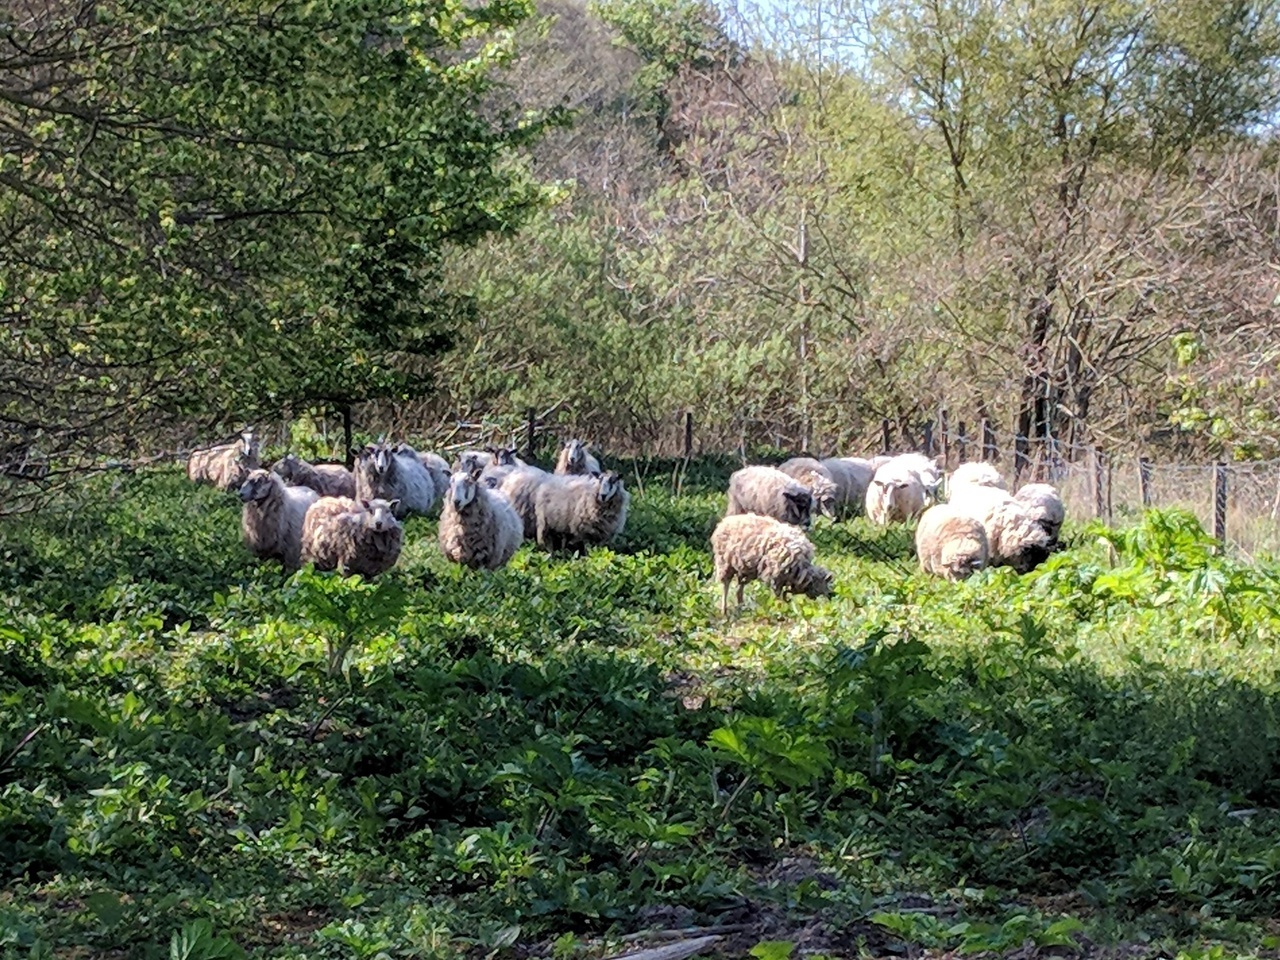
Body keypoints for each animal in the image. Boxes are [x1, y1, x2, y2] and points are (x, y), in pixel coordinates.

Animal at [706, 519, 834, 616]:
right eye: (822, 585)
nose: (831, 596)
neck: (800, 568)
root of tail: (724, 522)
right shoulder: (775, 575)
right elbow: (777, 595)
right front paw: (780, 610)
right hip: (725, 563)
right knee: (726, 585)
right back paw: (724, 610)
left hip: (745, 569)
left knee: (739, 589)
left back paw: (741, 608)